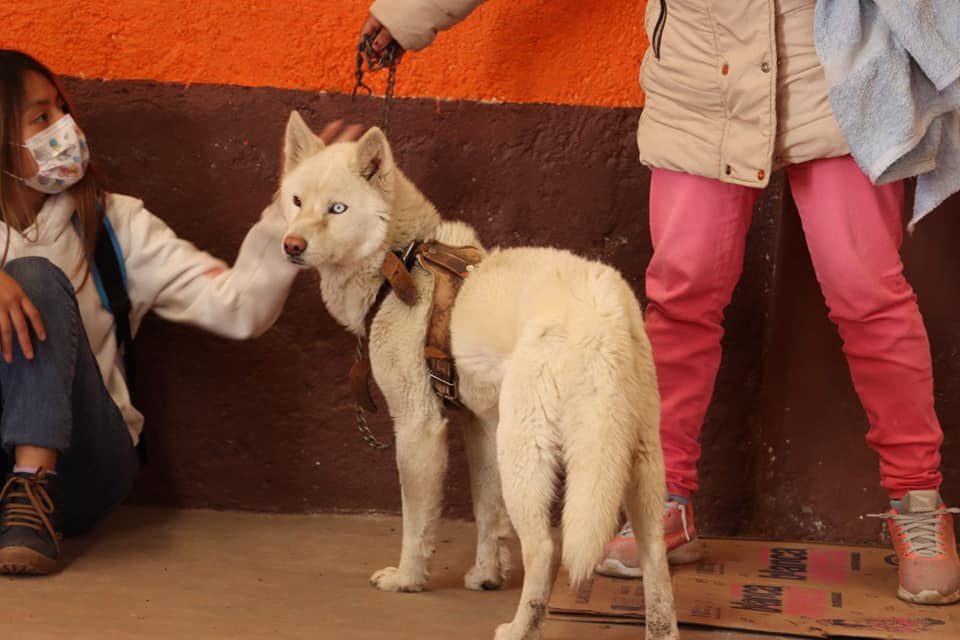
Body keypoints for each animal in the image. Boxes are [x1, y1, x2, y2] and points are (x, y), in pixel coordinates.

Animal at [278, 112, 684, 640]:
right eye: (296, 201)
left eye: (338, 208)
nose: (291, 246)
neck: (400, 263)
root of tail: (602, 309)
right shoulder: (479, 425)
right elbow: (486, 511)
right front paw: (486, 576)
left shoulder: (419, 427)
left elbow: (417, 522)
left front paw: (408, 580)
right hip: (634, 455)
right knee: (655, 552)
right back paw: (661, 628)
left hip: (526, 452)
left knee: (546, 548)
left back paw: (520, 628)